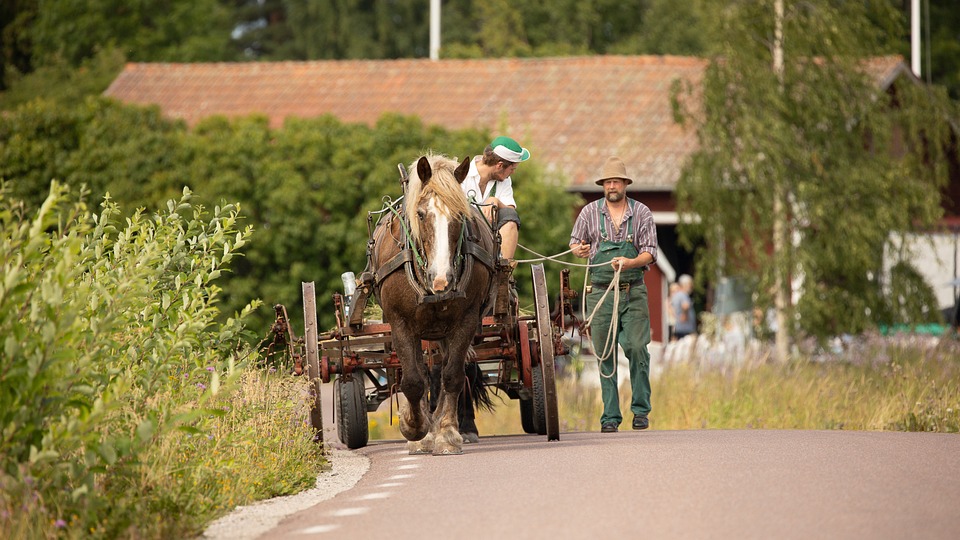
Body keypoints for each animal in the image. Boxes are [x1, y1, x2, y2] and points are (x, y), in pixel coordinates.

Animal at [372, 153, 498, 456]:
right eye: (420, 214)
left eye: (460, 215)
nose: (442, 280)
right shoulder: (400, 323)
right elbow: (413, 379)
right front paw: (415, 429)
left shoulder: (465, 320)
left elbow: (452, 375)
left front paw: (447, 433)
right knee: (421, 371)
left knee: (443, 371)